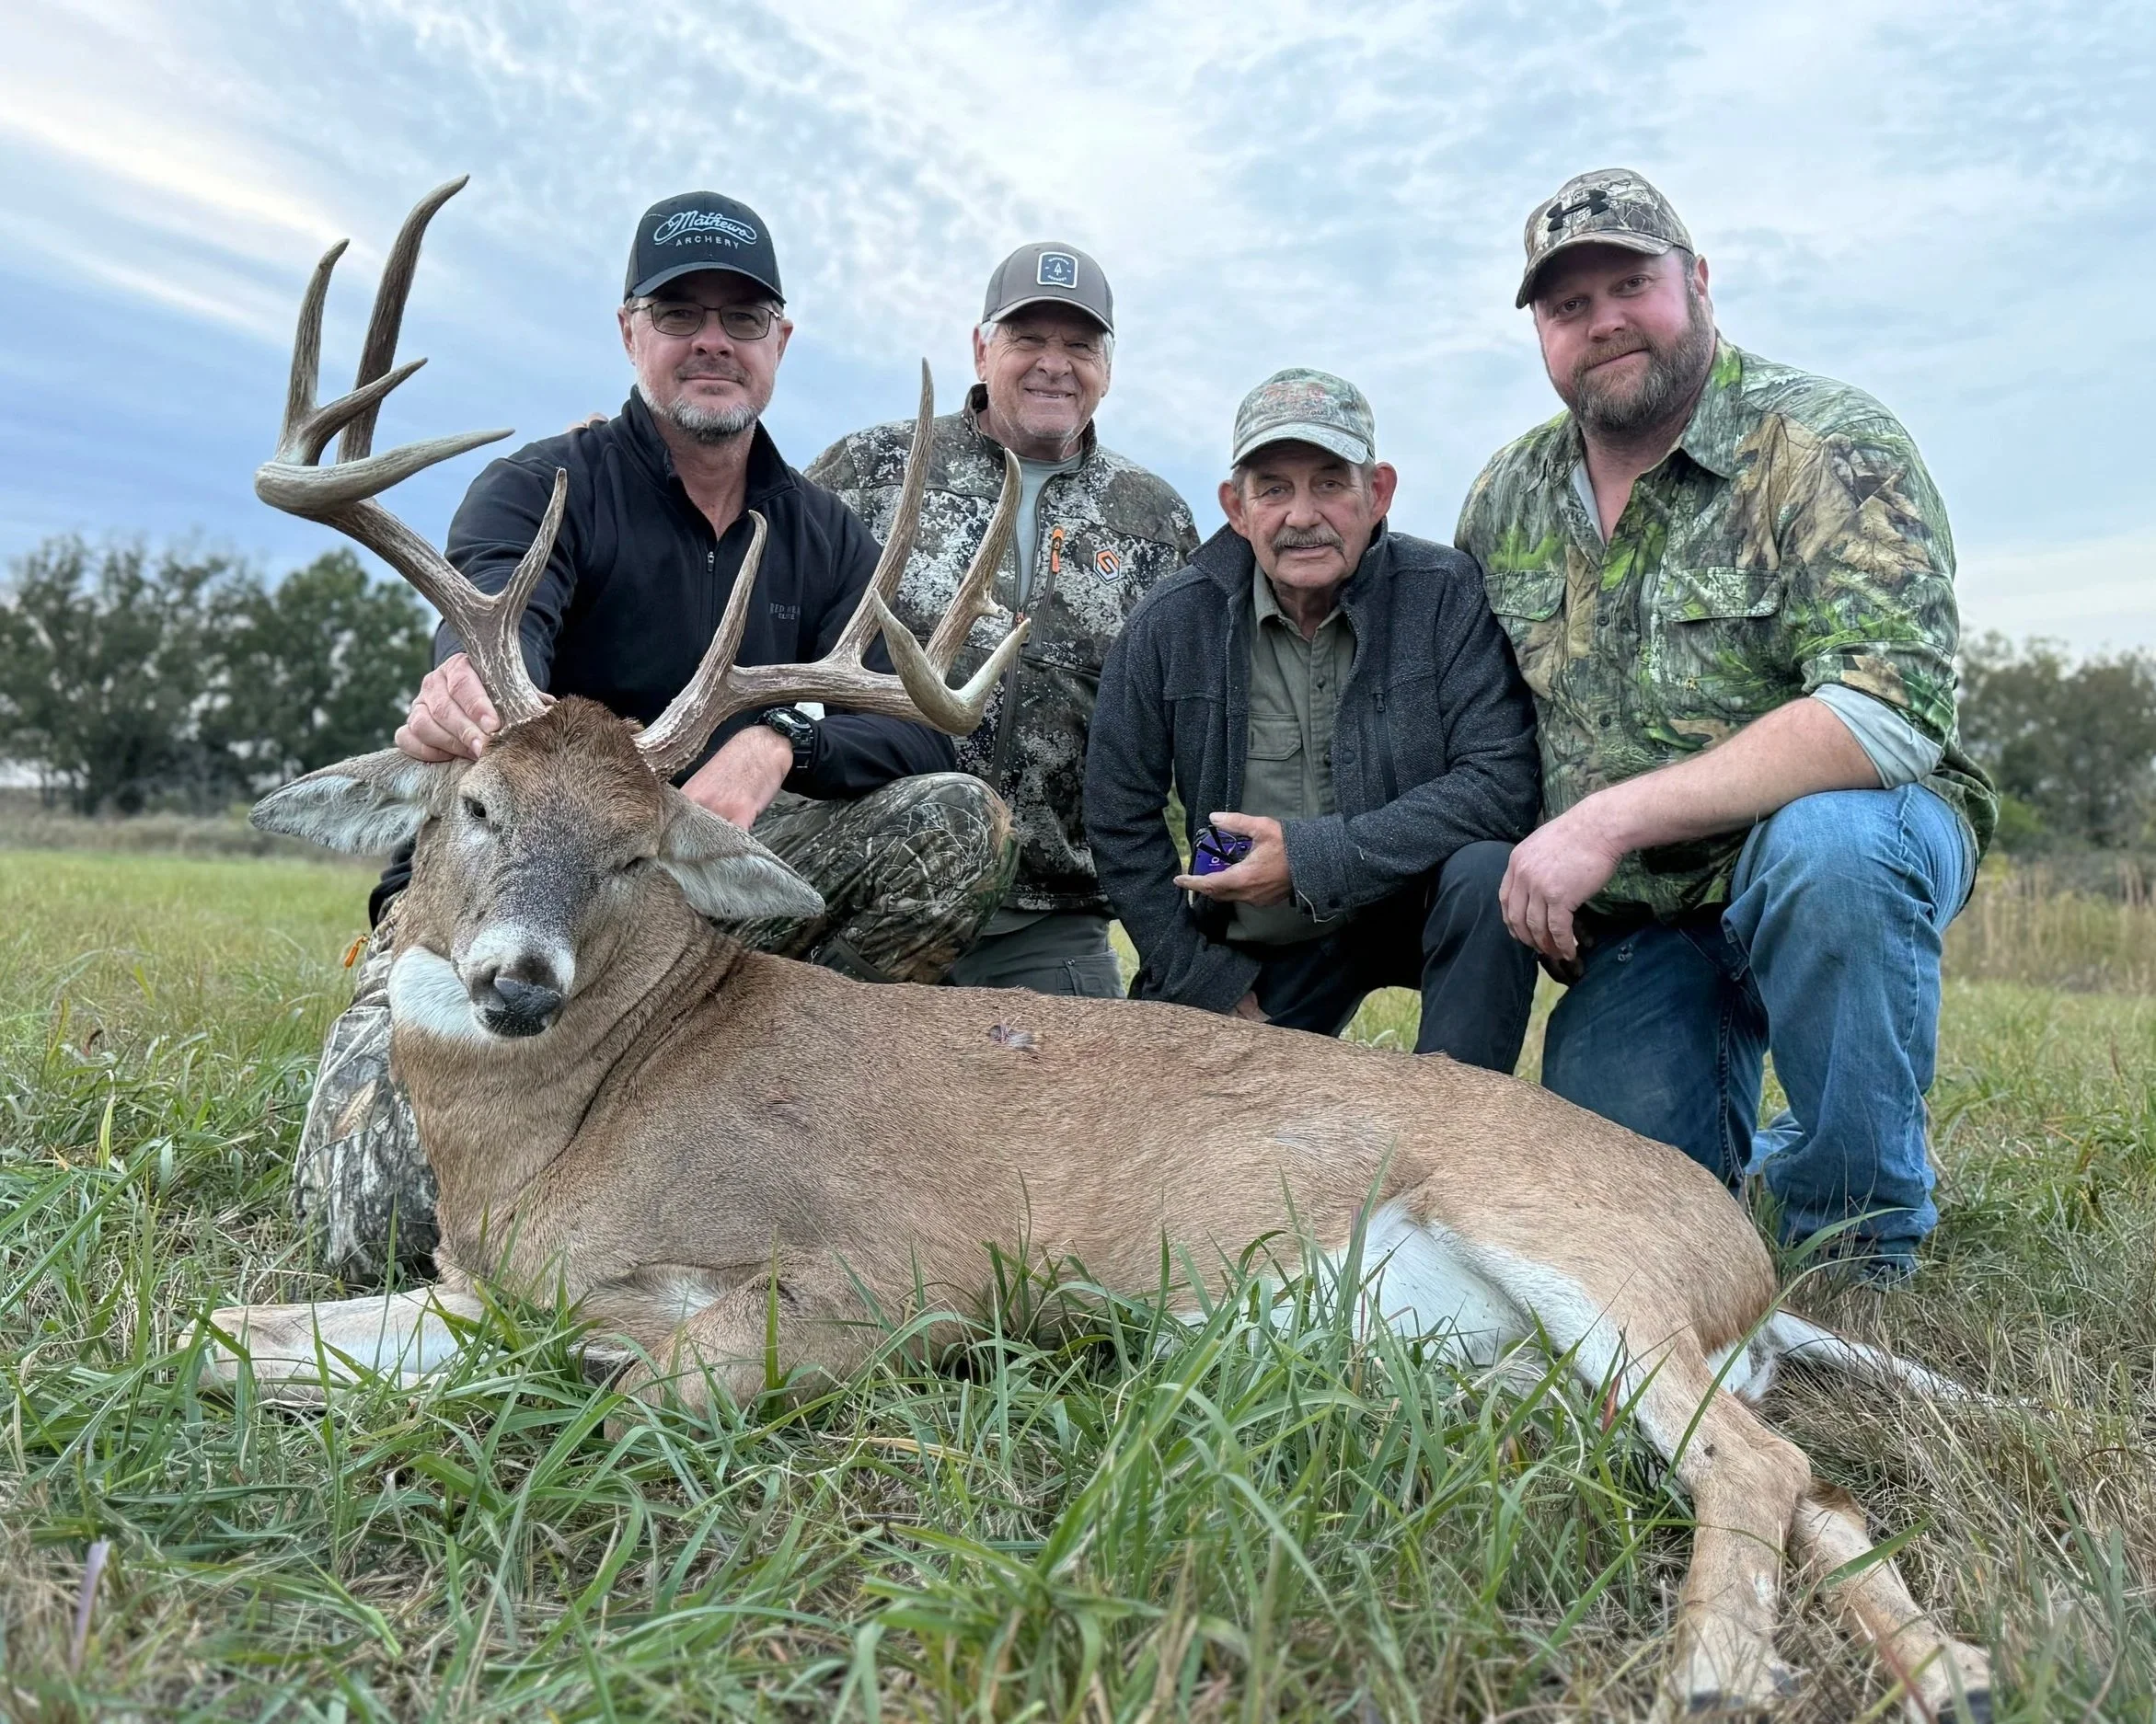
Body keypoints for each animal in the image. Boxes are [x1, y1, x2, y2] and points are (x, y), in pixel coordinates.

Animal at [204, 181, 1995, 1723]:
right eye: (477, 800)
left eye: (642, 849)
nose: (517, 978)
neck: (571, 1133)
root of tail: (1748, 1264)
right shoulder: (473, 1283)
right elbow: (230, 1333)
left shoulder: (879, 1278)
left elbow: (586, 1391)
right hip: (1596, 1357)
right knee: (1812, 1488)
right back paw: (1946, 1666)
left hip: (1581, 1250)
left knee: (1763, 1463)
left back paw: (1714, 1665)